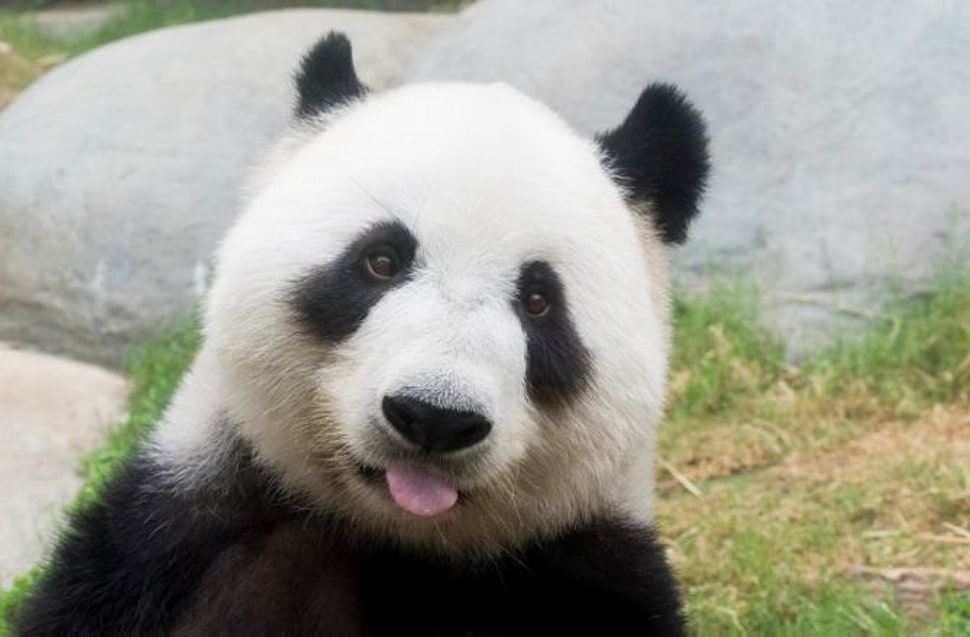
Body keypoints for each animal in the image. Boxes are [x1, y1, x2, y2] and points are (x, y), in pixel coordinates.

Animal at [15, 32, 708, 636]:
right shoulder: (170, 540)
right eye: (381, 260)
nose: (435, 417)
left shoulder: (585, 569)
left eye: (539, 301)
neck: (392, 535)